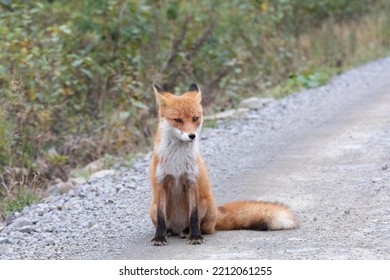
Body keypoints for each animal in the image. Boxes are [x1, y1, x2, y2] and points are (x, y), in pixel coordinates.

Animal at [149, 83, 296, 245]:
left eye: (195, 118)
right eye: (178, 120)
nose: (192, 136)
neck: (177, 162)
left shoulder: (192, 181)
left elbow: (193, 216)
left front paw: (195, 236)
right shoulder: (161, 182)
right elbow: (161, 218)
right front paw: (159, 237)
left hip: (204, 204)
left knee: (203, 227)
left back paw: (187, 231)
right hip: (153, 207)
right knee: (167, 223)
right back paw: (169, 232)